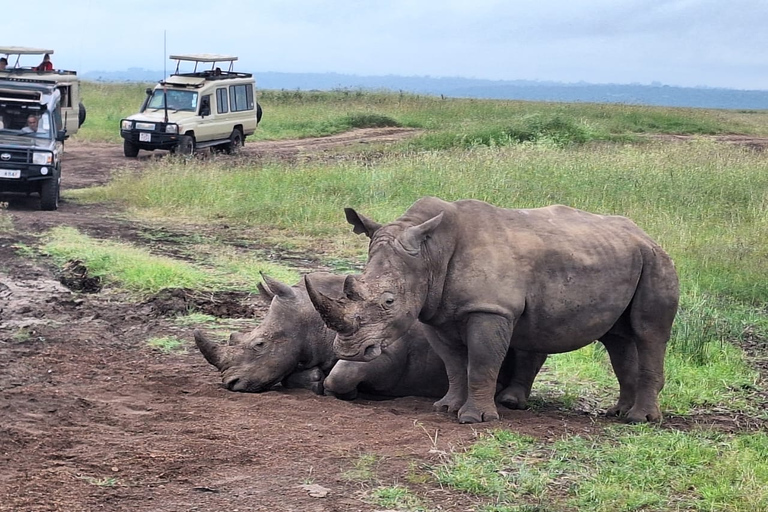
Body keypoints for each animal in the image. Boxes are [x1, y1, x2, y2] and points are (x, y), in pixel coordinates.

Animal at [306, 196, 680, 424]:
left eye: (388, 301)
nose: (349, 351)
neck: (430, 254)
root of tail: (645, 234)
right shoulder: (435, 313)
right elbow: (455, 365)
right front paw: (446, 408)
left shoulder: (491, 310)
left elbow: (482, 363)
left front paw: (475, 420)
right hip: (627, 255)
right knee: (618, 339)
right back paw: (618, 412)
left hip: (657, 260)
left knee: (649, 333)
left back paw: (639, 420)